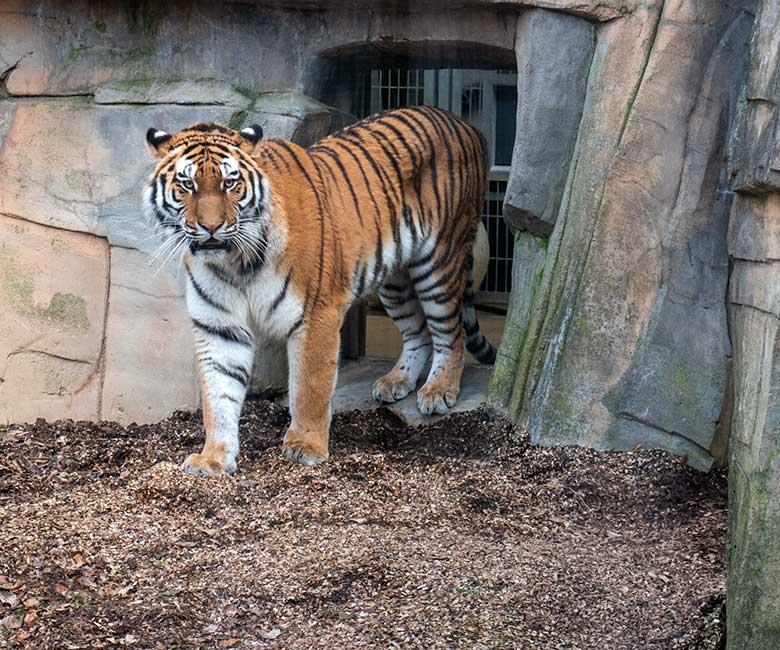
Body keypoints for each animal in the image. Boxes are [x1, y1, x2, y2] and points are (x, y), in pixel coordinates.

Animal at [144, 104, 496, 474]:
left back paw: (438, 390)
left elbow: (310, 387)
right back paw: (397, 382)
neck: (234, 262)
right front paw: (213, 457)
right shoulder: (218, 326)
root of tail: (464, 123)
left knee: (450, 331)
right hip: (395, 280)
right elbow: (218, 396)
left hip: (440, 261)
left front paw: (306, 446)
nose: (211, 227)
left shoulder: (316, 313)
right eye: (188, 185)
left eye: (230, 183)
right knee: (419, 333)